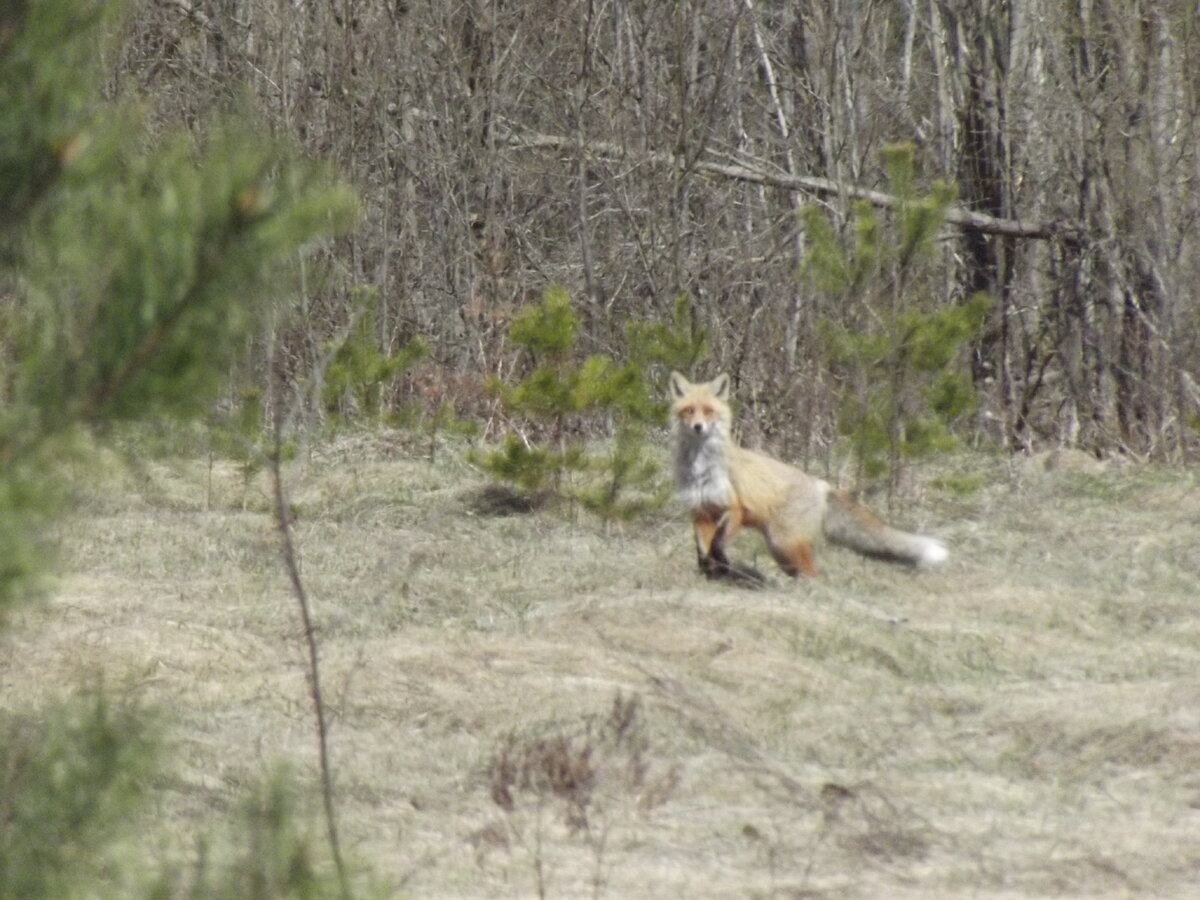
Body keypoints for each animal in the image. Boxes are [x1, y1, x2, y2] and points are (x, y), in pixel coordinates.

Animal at [667, 372, 945, 578]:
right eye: (689, 411)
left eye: (708, 411)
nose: (698, 427)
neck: (701, 469)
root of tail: (821, 484)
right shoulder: (700, 512)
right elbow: (702, 550)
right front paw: (711, 572)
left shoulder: (734, 507)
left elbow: (718, 543)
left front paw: (722, 562)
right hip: (781, 549)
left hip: (783, 544)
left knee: (815, 572)